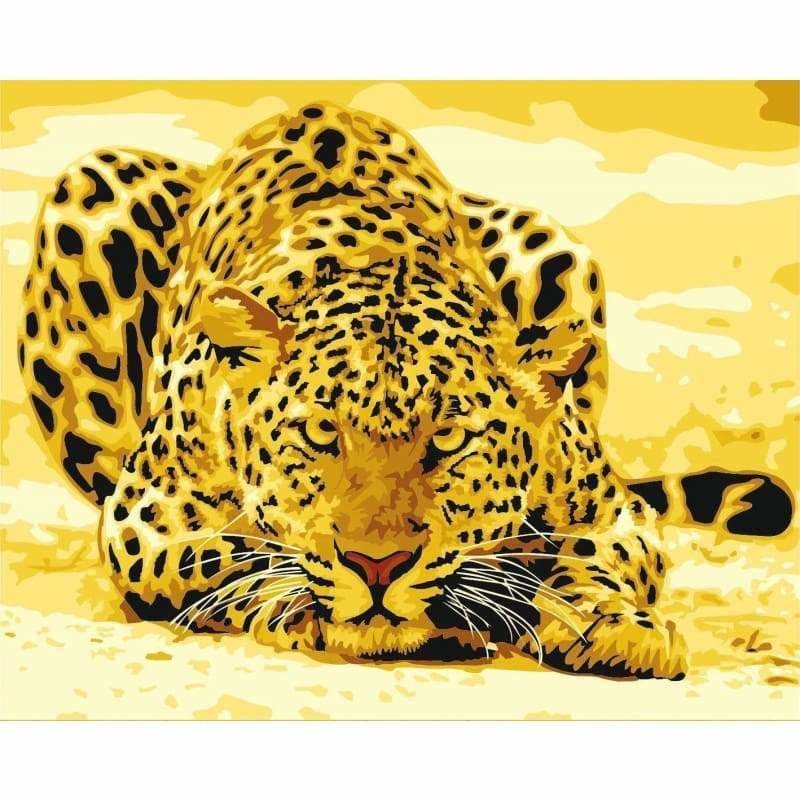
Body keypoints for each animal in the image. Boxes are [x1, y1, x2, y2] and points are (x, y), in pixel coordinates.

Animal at [18, 102, 794, 679]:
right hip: (91, 187)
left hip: (554, 245)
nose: (377, 565)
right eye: (320, 433)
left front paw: (614, 624)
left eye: (448, 440)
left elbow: (598, 557)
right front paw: (303, 603)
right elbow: (228, 555)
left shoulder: (614, 511)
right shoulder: (143, 517)